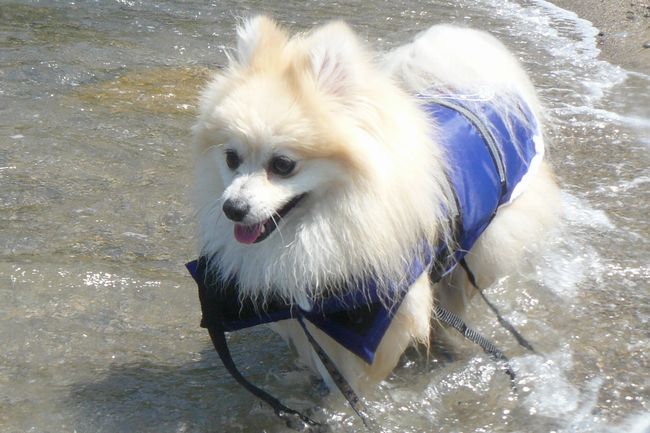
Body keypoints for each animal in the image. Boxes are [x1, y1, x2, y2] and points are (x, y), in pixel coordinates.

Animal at [191, 16, 560, 396]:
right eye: (231, 158)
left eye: (282, 165)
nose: (232, 208)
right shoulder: (304, 316)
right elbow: (318, 363)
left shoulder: (377, 326)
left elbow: (349, 386)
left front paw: (335, 405)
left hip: (483, 248)